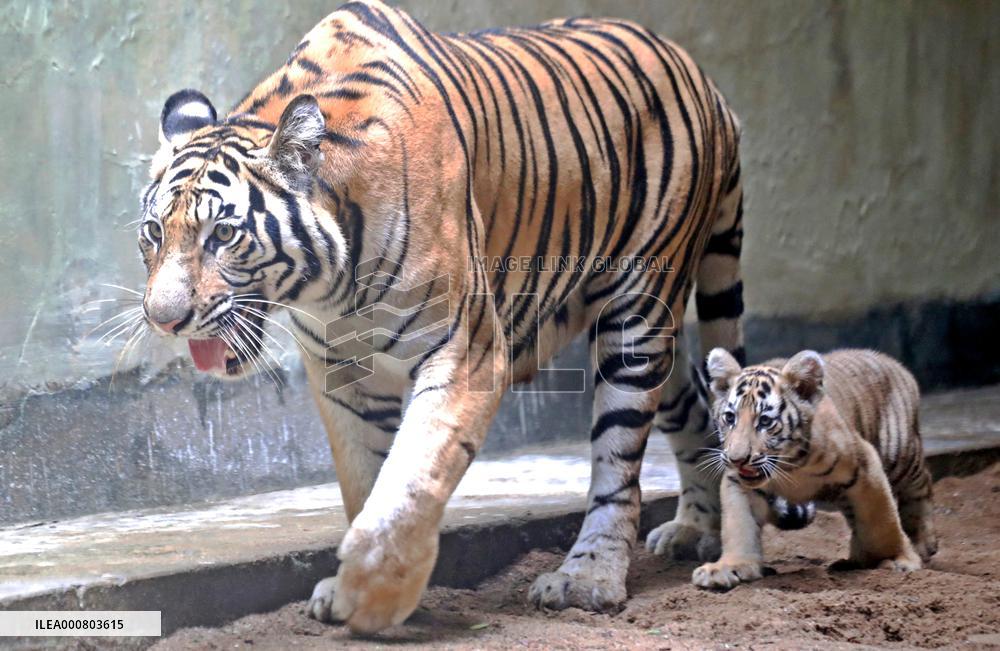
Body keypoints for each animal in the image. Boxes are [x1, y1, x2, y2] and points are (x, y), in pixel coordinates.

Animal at [133, 0, 801, 633]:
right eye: (153, 233)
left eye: (223, 235)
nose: (163, 319)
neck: (330, 286)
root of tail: (705, 79)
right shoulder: (340, 372)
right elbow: (365, 480)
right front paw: (361, 589)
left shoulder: (466, 350)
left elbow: (410, 479)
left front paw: (372, 594)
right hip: (653, 331)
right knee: (695, 407)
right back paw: (695, 530)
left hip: (638, 312)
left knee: (618, 468)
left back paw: (587, 580)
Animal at [691, 348, 937, 590]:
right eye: (729, 417)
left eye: (765, 421)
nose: (738, 459)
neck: (788, 466)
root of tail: (893, 362)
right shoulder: (738, 483)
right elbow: (738, 526)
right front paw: (727, 567)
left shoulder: (865, 466)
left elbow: (881, 521)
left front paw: (895, 559)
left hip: (901, 455)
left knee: (921, 485)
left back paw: (923, 543)